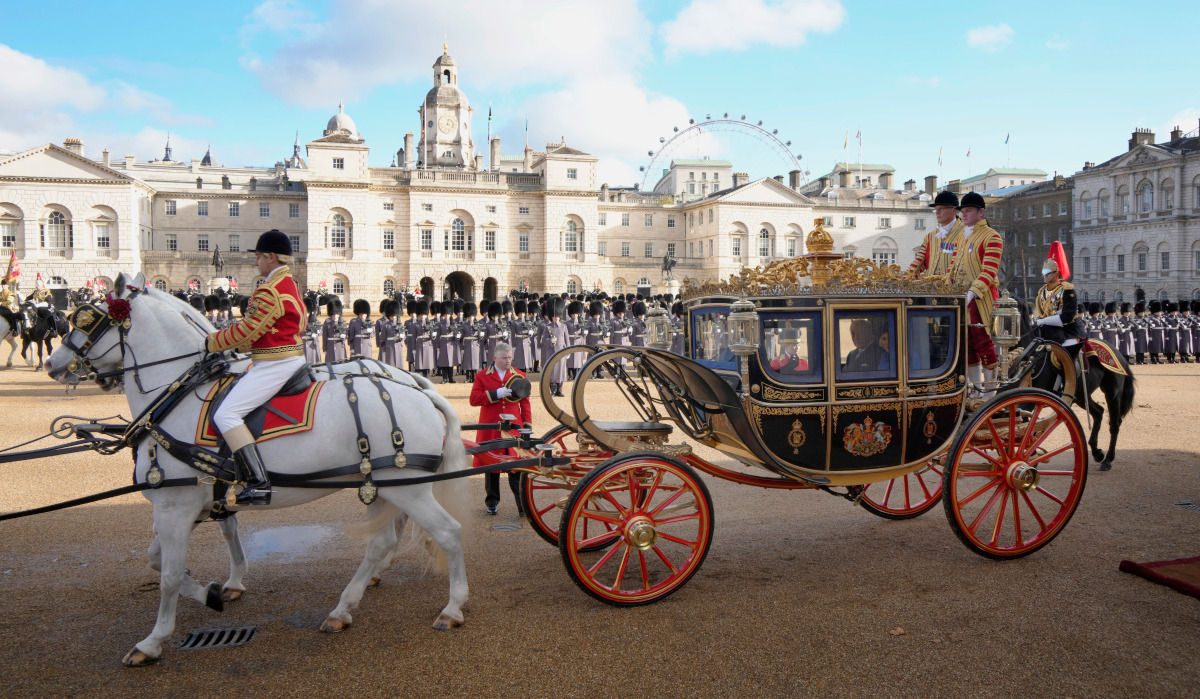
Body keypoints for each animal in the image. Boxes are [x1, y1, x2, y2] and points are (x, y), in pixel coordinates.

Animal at [45, 273, 468, 667]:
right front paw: (213, 592)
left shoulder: (176, 506)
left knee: (448, 532)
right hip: (379, 485)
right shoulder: (191, 504)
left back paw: (452, 608)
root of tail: (418, 388)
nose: (53, 364)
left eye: (88, 318)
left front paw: (153, 640)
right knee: (382, 541)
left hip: (406, 487)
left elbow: (168, 575)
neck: (176, 399)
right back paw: (343, 608)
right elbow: (162, 559)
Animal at [1003, 299, 1132, 473]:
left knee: (1114, 423)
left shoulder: (1029, 401)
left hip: (1112, 393)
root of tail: (1117, 353)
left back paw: (1107, 459)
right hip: (1081, 396)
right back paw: (1097, 452)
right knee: (1098, 412)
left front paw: (1028, 456)